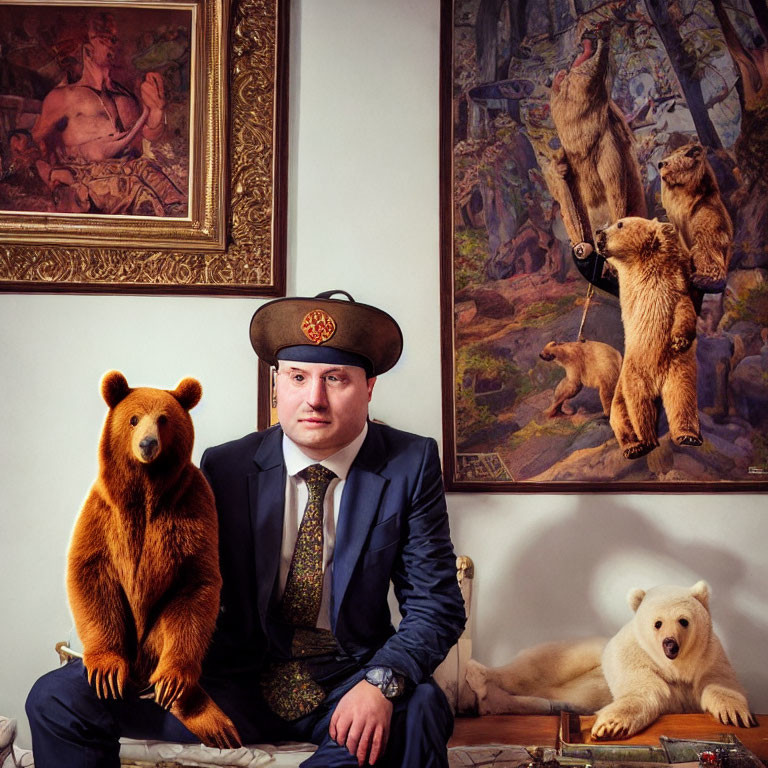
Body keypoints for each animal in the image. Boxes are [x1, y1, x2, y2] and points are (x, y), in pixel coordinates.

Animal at [66, 372, 240, 752]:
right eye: (133, 419)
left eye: (163, 419)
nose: (147, 444)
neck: (145, 491)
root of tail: (141, 669)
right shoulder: (103, 510)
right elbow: (90, 571)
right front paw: (106, 672)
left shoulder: (193, 507)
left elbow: (197, 582)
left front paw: (174, 682)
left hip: (155, 632)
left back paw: (206, 716)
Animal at [592, 216, 704, 460]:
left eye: (620, 224)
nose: (598, 233)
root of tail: (657, 382)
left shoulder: (675, 292)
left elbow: (685, 312)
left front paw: (679, 340)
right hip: (631, 376)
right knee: (628, 410)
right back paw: (638, 444)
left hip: (677, 369)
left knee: (681, 397)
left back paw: (688, 436)